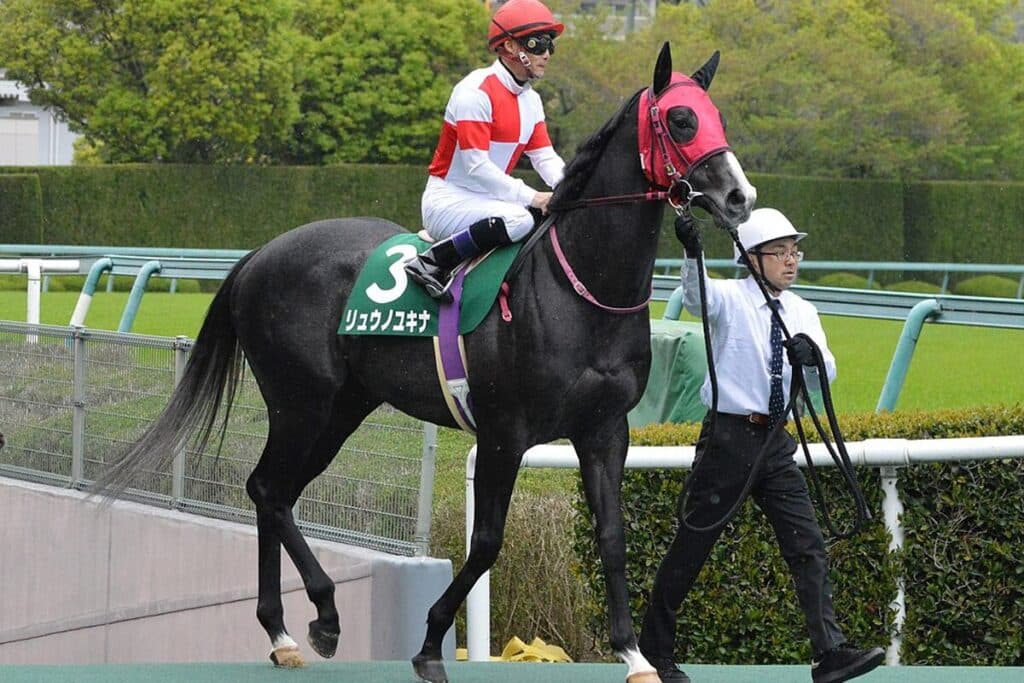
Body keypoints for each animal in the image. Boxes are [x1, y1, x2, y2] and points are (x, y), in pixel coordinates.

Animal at [97, 43, 755, 683]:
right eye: (681, 119)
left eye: (717, 116)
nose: (739, 197)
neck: (580, 287)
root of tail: (260, 253)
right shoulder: (503, 431)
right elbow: (486, 542)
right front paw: (432, 642)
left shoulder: (604, 429)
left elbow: (613, 537)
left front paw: (634, 654)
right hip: (300, 402)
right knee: (266, 487)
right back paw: (321, 617)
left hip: (342, 409)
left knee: (275, 491)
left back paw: (286, 633)